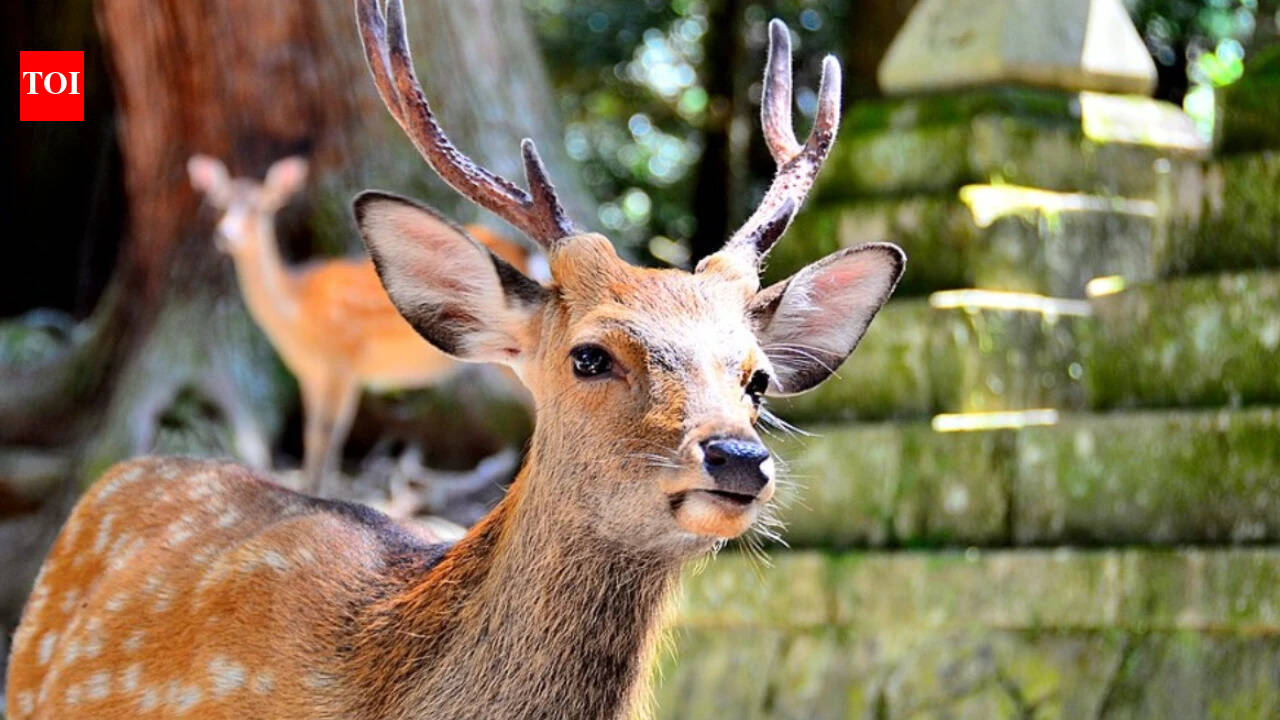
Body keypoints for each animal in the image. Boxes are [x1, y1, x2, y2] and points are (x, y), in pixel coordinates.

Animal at [185, 153, 536, 498]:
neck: (295, 312)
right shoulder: (310, 373)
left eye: (261, 207)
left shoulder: (341, 360)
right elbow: (314, 435)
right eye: (218, 204)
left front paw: (320, 492)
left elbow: (329, 434)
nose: (226, 235)